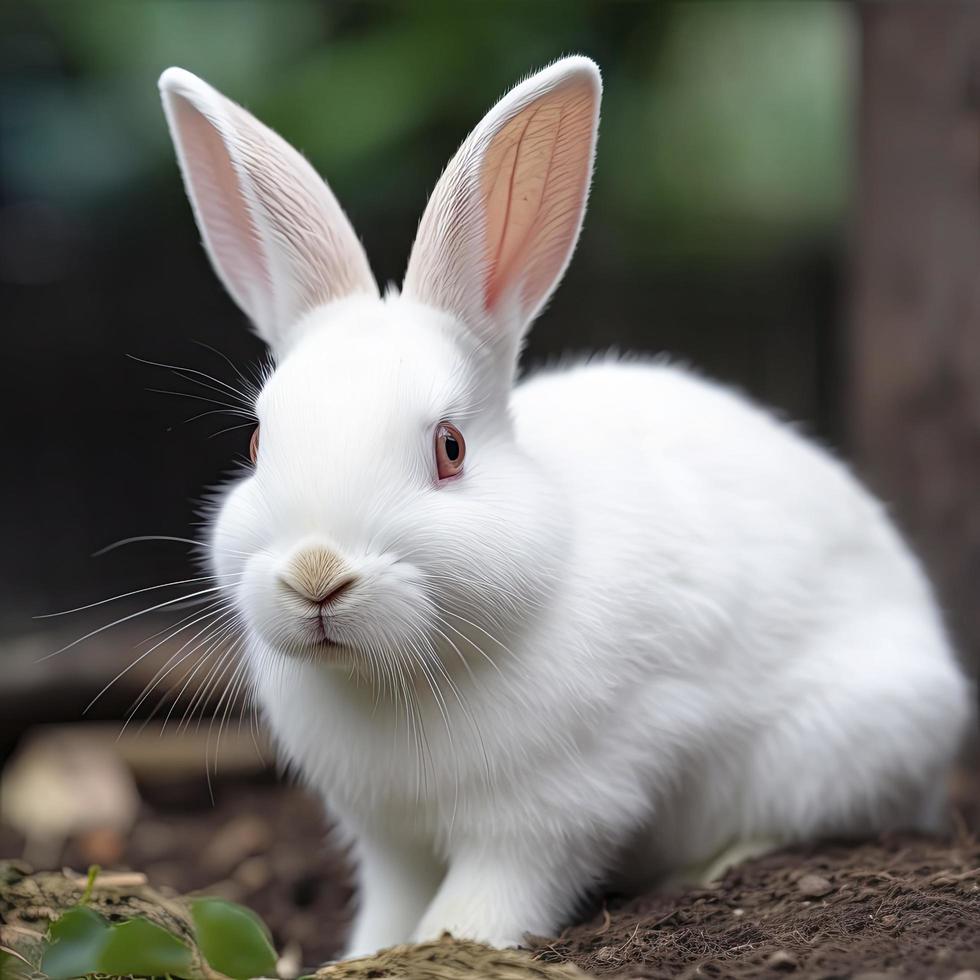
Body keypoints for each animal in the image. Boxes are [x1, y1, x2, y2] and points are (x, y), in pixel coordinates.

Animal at [159, 55, 972, 956]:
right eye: (256, 445)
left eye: (450, 449)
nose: (316, 575)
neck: (396, 677)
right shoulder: (387, 836)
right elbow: (392, 905)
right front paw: (366, 955)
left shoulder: (553, 813)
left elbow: (485, 900)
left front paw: (449, 946)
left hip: (837, 747)